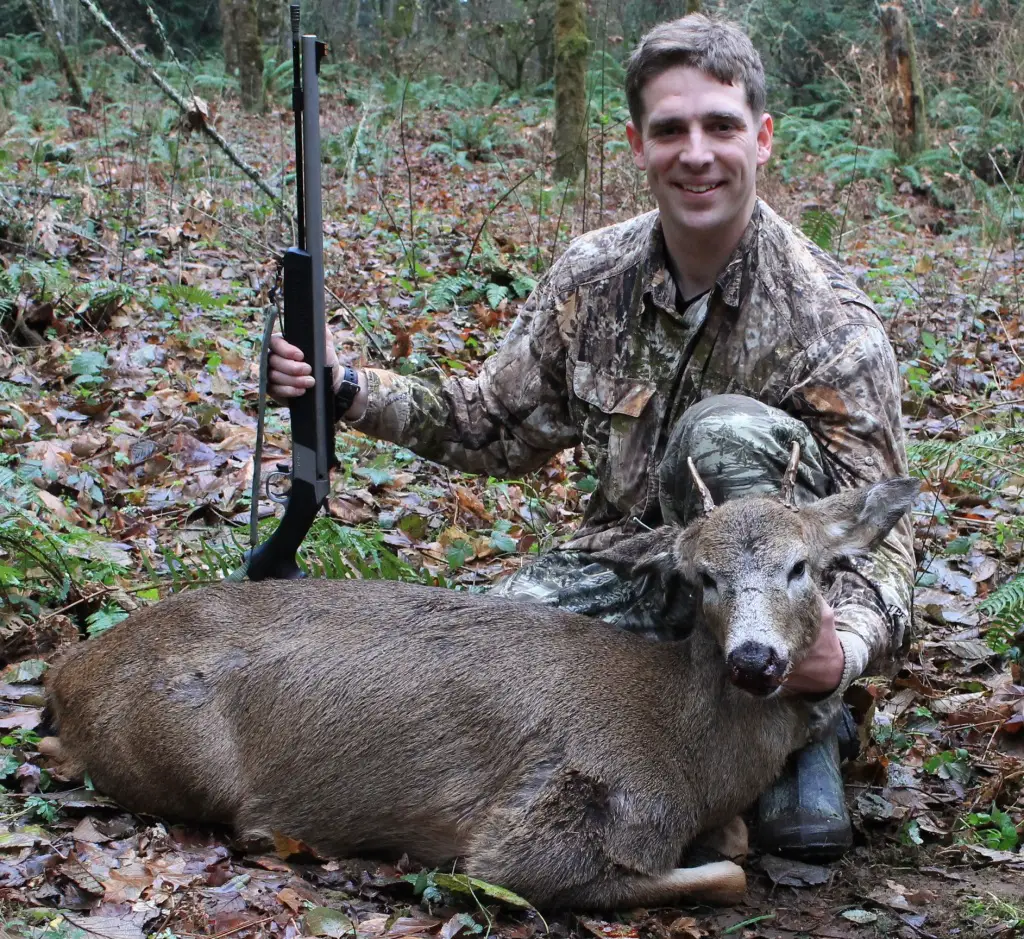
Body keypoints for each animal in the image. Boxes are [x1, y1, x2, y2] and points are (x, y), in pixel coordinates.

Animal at [41, 454, 921, 909]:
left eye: (801, 566)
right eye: (700, 575)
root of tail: (66, 671)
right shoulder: (546, 823)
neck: (691, 751)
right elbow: (728, 873)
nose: (755, 659)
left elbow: (736, 843)